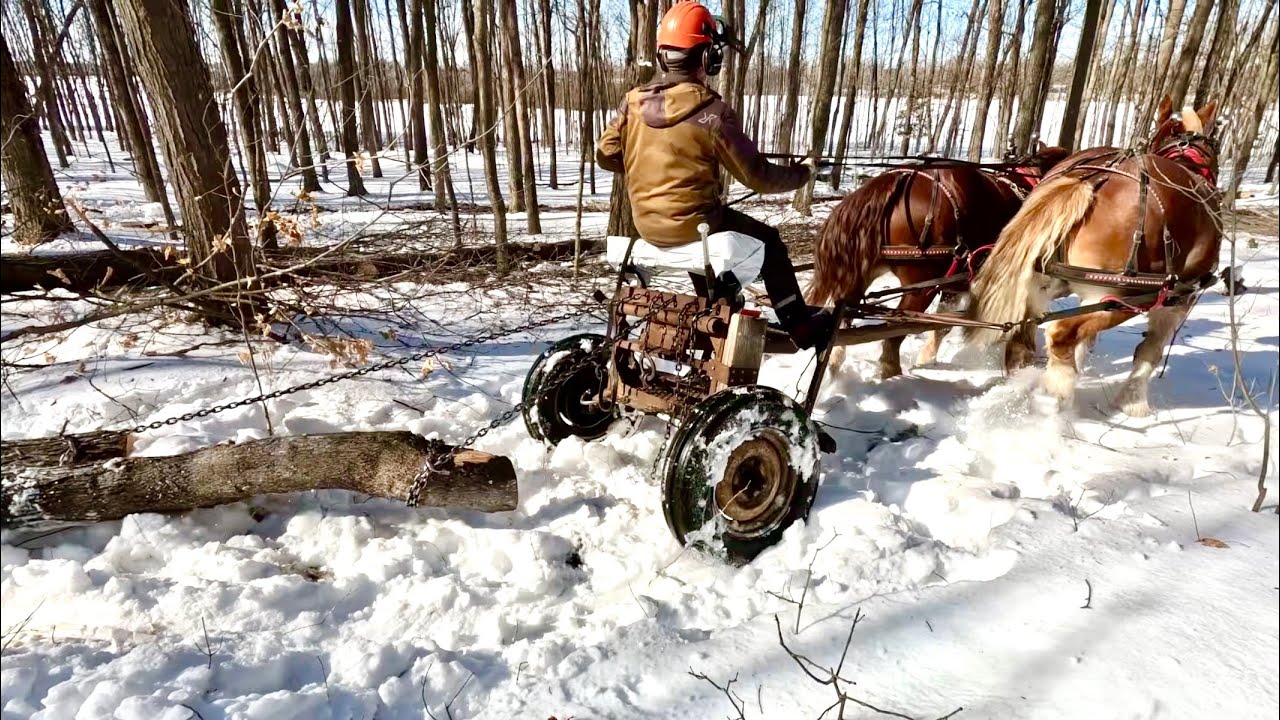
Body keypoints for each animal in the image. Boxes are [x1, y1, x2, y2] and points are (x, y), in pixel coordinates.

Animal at [806, 143, 1070, 377]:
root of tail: (900, 179)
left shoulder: (954, 285)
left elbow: (943, 324)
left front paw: (926, 359)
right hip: (921, 287)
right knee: (894, 331)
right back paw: (890, 373)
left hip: (860, 276)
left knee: (844, 321)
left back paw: (835, 368)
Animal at [964, 97, 1221, 417]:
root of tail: (1089, 180)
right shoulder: (1176, 301)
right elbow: (1150, 351)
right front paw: (1133, 401)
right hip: (1121, 296)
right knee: (1061, 334)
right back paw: (1055, 395)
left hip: (1040, 285)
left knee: (1022, 342)